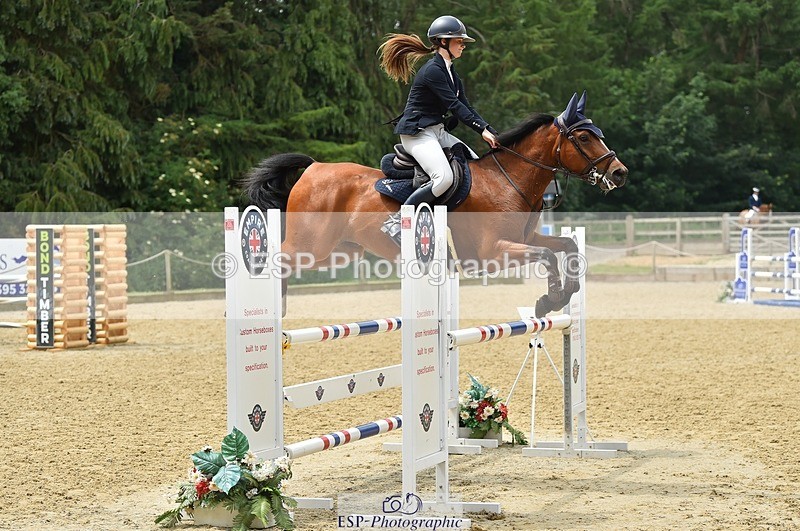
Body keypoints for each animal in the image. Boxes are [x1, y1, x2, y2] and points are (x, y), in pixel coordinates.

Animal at [243, 92, 628, 316]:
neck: (508, 179)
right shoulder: (492, 253)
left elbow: (566, 247)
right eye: (583, 137)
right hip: (311, 243)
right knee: (276, 257)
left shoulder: (526, 239)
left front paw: (564, 295)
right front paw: (549, 301)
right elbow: (548, 255)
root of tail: (314, 167)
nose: (620, 173)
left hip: (339, 252)